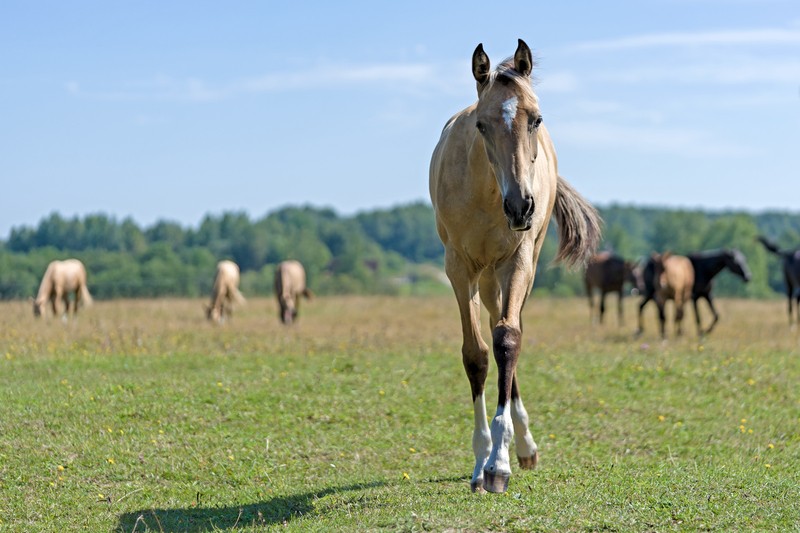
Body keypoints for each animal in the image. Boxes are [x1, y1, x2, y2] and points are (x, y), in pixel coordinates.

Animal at [428, 39, 596, 492]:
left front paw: (499, 462)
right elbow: (476, 354)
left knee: (510, 327)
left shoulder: (518, 260)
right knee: (493, 324)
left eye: (535, 119)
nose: (521, 206)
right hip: (486, 279)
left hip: (516, 270)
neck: (488, 196)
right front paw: (481, 459)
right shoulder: (459, 268)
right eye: (482, 125)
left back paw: (523, 446)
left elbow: (508, 340)